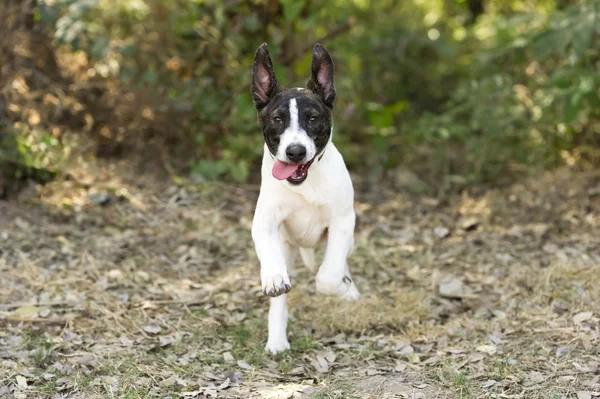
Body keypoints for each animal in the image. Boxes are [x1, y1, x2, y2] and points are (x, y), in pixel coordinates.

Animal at [250, 43, 358, 356]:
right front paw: (273, 278)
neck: (306, 183)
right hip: (287, 246)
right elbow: (269, 256)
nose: (295, 151)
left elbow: (329, 276)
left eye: (312, 118)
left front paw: (342, 288)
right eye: (277, 119)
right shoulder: (264, 223)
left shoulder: (343, 222)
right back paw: (277, 339)